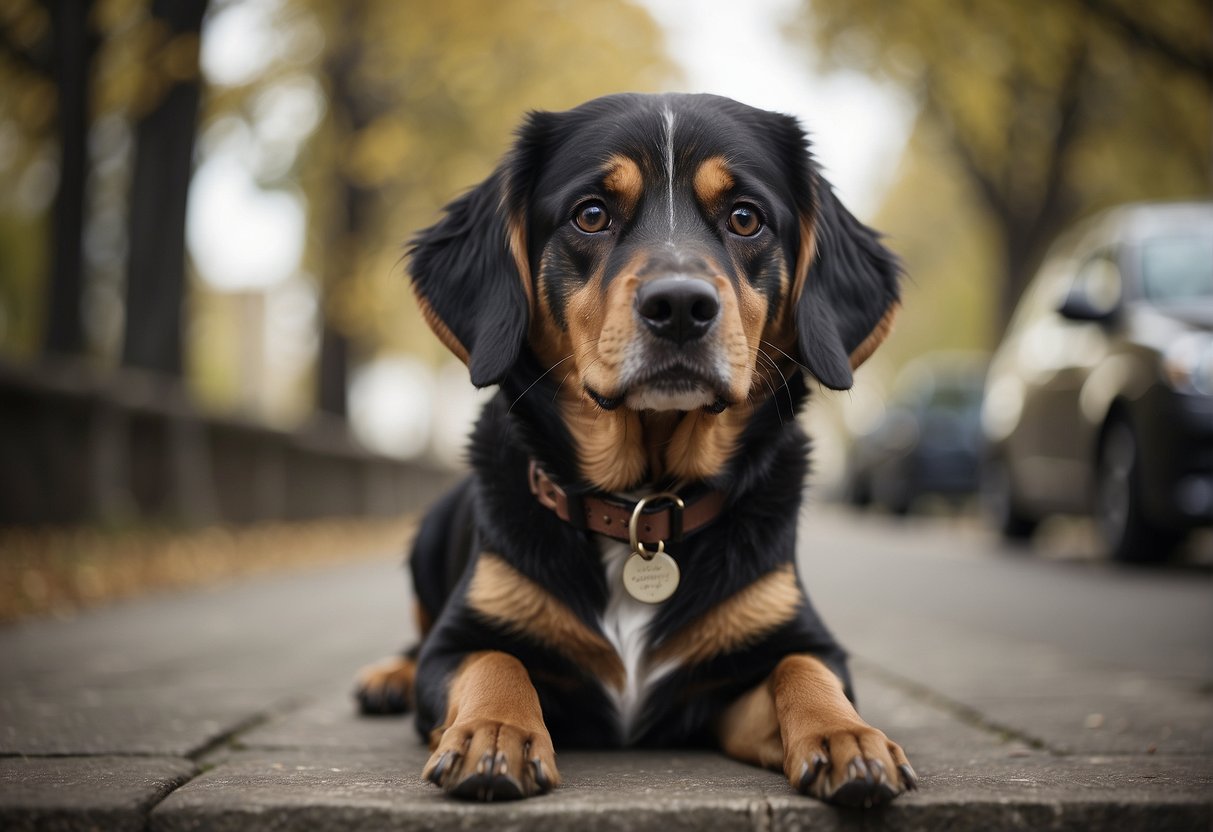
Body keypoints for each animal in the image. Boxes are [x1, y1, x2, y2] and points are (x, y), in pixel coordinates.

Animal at [354, 90, 912, 810]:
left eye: (745, 217)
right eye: (591, 214)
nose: (679, 305)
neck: (643, 507)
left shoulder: (769, 652)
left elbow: (804, 667)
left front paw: (849, 736)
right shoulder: (455, 645)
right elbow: (493, 659)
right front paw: (496, 732)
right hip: (427, 538)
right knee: (416, 638)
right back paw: (386, 677)